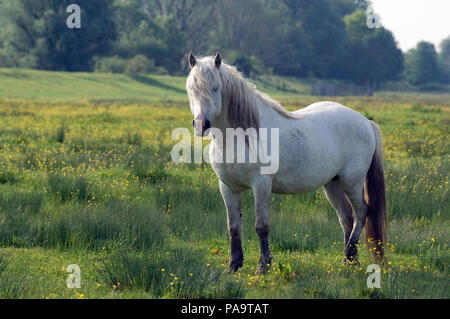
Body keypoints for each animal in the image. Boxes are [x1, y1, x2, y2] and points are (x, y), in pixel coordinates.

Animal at [185, 52, 386, 272]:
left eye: (215, 87)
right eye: (191, 89)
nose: (201, 124)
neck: (239, 138)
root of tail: (365, 121)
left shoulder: (261, 185)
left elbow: (261, 226)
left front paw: (263, 266)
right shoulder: (228, 187)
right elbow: (234, 227)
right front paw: (233, 265)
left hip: (352, 182)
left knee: (361, 213)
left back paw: (350, 255)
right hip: (332, 184)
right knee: (346, 217)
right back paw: (349, 261)